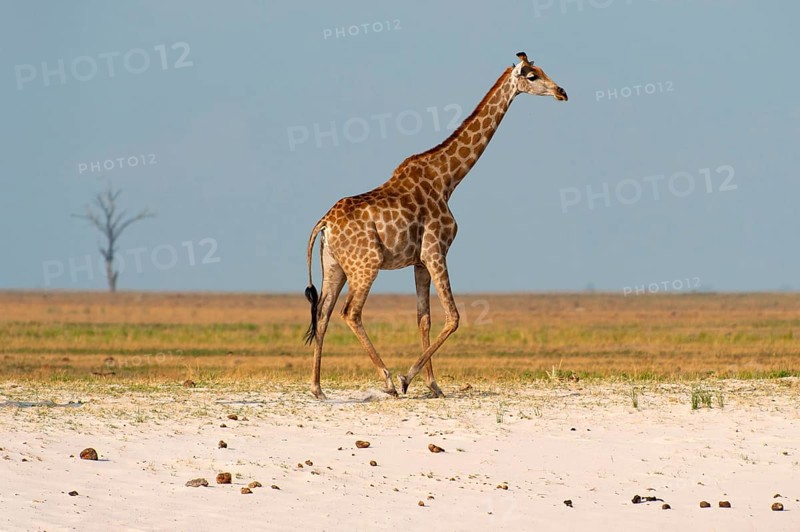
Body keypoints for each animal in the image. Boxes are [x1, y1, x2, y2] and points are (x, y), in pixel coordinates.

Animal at [304, 52, 567, 399]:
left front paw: (433, 385)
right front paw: (406, 379)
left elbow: (424, 318)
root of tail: (324, 224)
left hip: (334, 266)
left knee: (322, 314)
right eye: (533, 75)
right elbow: (453, 317)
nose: (562, 92)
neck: (447, 179)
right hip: (366, 265)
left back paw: (317, 388)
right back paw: (388, 380)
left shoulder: (419, 261)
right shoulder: (436, 251)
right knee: (351, 312)